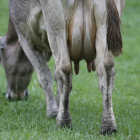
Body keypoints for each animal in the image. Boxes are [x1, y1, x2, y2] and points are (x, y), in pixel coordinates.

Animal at [9, 0, 124, 134]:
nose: (13, 95)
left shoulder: (25, 38)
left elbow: (44, 76)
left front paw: (53, 111)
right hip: (104, 28)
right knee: (106, 68)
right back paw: (108, 127)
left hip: (56, 26)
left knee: (64, 69)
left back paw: (63, 122)